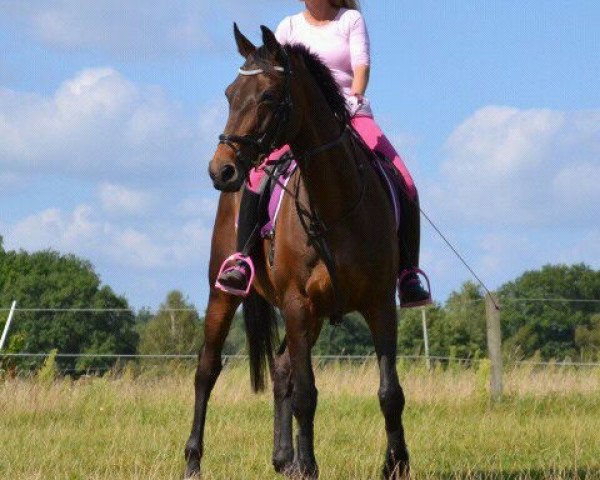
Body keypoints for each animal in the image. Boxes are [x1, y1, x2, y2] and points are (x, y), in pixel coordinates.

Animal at [182, 25, 408, 480]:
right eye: (230, 93)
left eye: (268, 96)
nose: (221, 170)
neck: (335, 205)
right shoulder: (297, 303)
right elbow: (306, 394)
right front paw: (310, 465)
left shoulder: (379, 304)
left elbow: (389, 392)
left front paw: (396, 464)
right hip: (224, 293)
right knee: (207, 369)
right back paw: (194, 461)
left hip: (314, 315)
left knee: (282, 368)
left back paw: (284, 459)